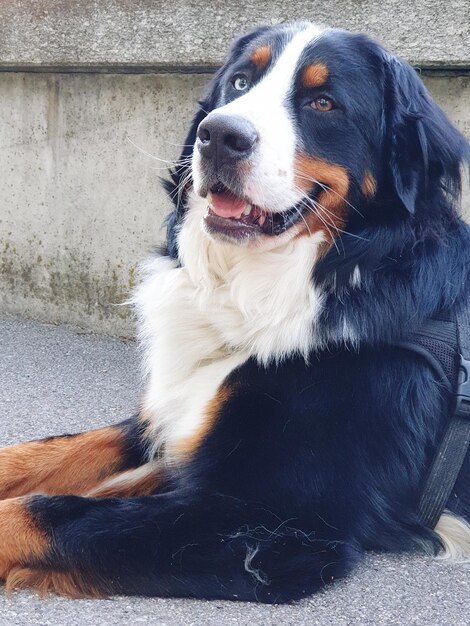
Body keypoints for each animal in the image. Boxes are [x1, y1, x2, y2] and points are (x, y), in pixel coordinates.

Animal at [0, 22, 470, 604]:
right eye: (241, 81)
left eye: (323, 102)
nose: (220, 135)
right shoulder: (174, 417)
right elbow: (44, 452)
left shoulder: (274, 522)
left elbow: (43, 513)